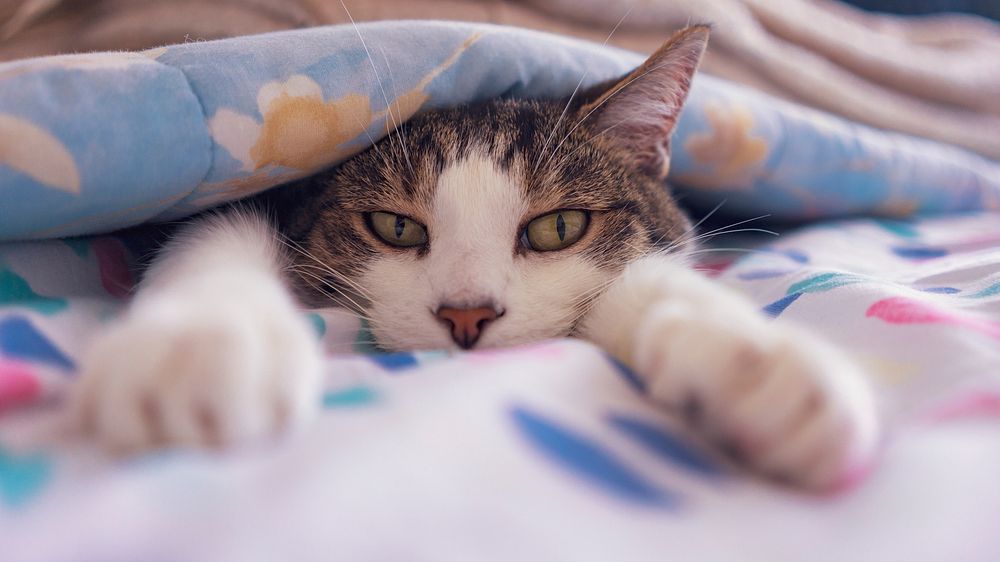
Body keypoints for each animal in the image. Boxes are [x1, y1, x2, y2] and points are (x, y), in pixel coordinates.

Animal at [76, 26, 876, 488]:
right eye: (394, 227)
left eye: (559, 227)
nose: (466, 316)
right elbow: (216, 224)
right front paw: (198, 349)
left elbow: (641, 278)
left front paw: (761, 365)